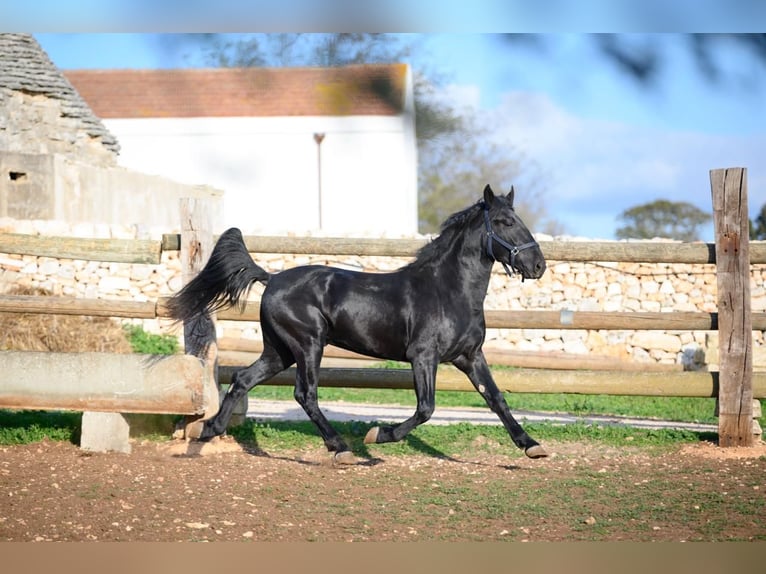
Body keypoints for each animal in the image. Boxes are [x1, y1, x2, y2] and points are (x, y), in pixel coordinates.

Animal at [169, 184, 552, 464]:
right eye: (504, 222)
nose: (538, 265)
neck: (448, 290)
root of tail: (272, 277)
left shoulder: (470, 356)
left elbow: (496, 399)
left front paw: (531, 445)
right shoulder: (423, 357)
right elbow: (425, 408)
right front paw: (379, 435)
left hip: (280, 351)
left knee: (243, 378)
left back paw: (209, 430)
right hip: (308, 345)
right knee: (305, 394)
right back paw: (342, 449)